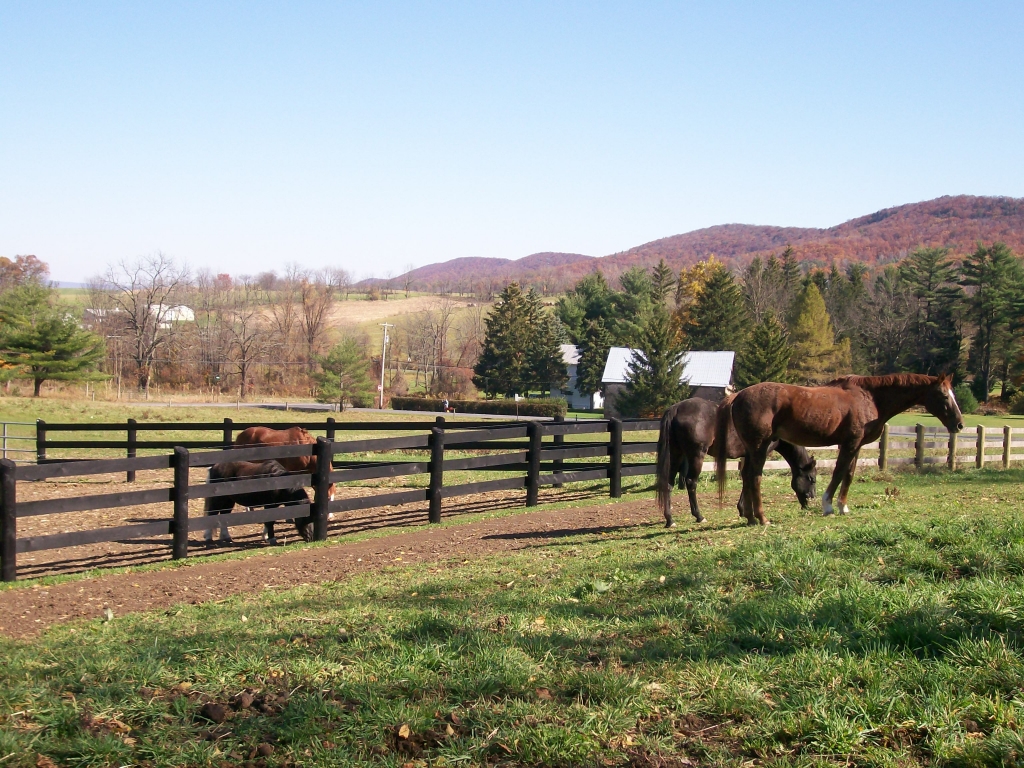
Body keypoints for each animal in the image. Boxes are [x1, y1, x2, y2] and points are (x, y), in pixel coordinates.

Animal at [655, 397, 815, 528]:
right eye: (812, 478)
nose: (811, 500)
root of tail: (676, 408)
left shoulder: (747, 456)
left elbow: (745, 477)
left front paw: (743, 510)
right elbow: (750, 478)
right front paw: (747, 512)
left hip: (676, 454)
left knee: (668, 483)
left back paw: (670, 520)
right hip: (696, 455)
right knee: (691, 482)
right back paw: (699, 516)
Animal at [716, 374, 962, 528]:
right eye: (944, 396)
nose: (959, 424)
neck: (870, 397)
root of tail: (737, 396)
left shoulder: (855, 445)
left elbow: (849, 475)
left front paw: (843, 506)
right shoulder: (850, 443)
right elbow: (838, 472)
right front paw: (828, 505)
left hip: (753, 449)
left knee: (748, 476)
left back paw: (750, 518)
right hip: (760, 447)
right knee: (755, 477)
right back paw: (762, 518)